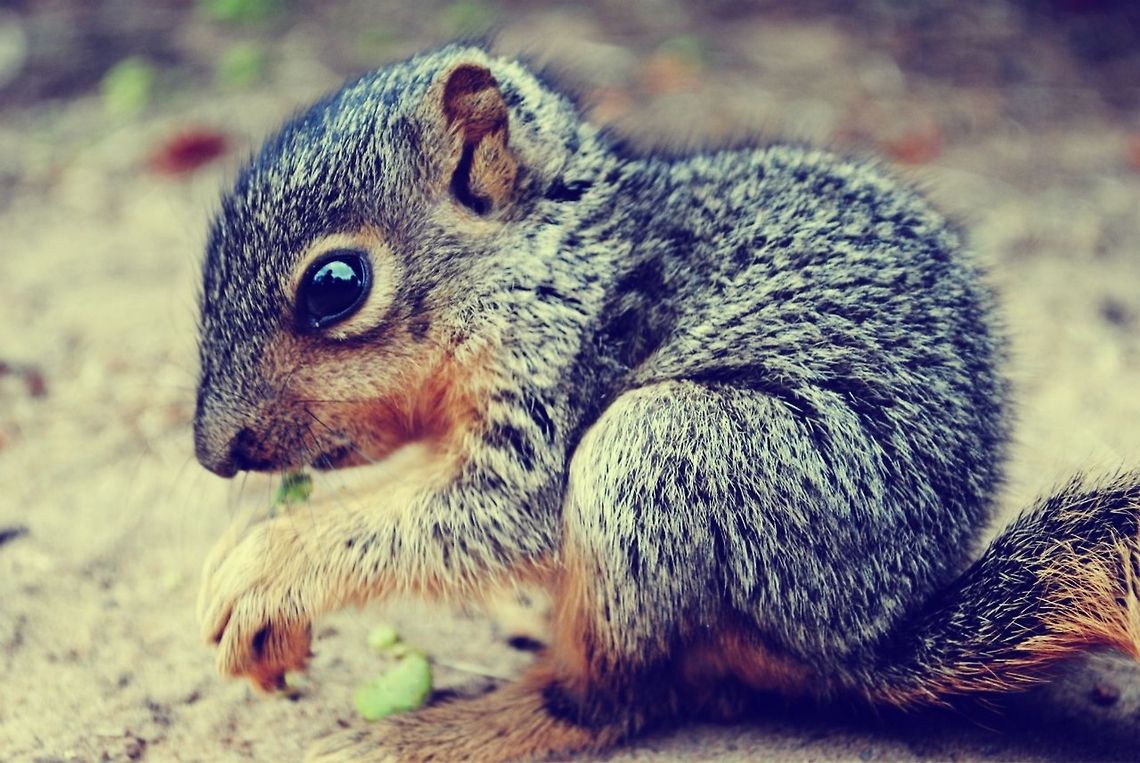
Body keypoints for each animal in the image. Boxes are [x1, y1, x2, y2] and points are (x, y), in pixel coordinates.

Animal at [193, 43, 1140, 762]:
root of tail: (866, 640)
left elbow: (499, 515)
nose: (213, 452)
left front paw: (265, 566)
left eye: (336, 286)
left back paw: (454, 725)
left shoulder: (561, 375)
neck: (542, 260)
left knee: (615, 695)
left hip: (668, 451)